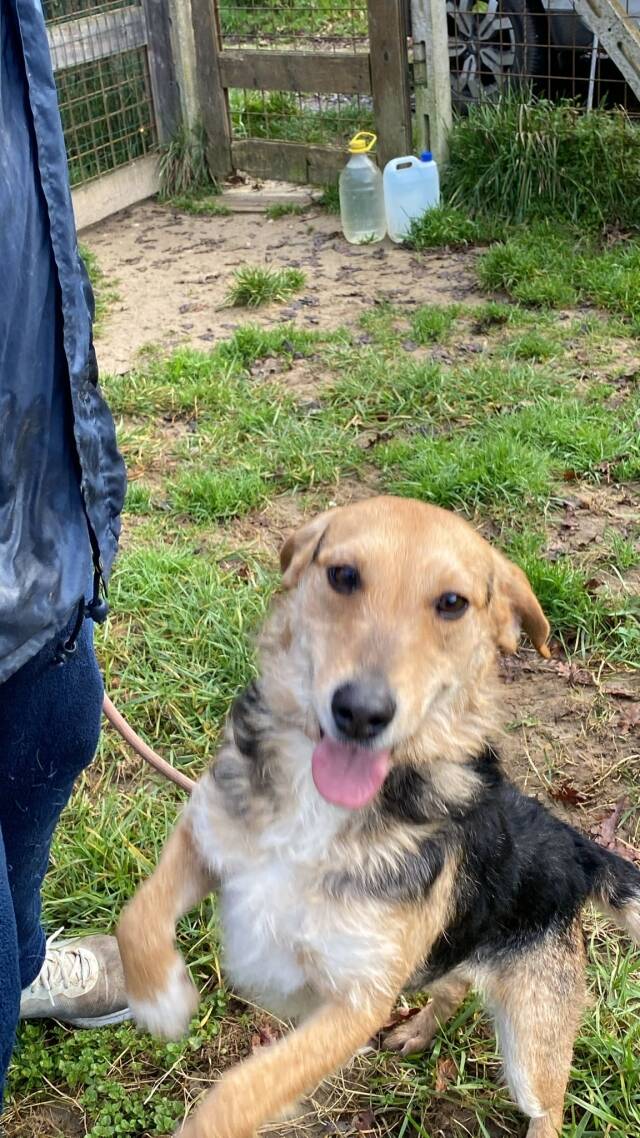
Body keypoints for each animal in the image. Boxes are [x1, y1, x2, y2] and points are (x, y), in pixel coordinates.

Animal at [117, 495, 640, 1138]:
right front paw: (159, 999)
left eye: (452, 603)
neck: (321, 809)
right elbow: (137, 917)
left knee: (549, 1110)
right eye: (343, 575)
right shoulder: (207, 836)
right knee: (454, 984)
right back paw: (418, 1029)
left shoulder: (356, 1002)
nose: (362, 712)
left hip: (531, 1038)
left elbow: (241, 1091)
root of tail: (573, 844)